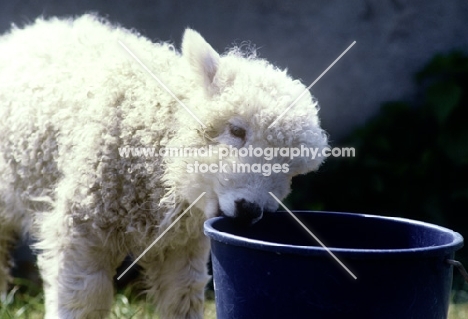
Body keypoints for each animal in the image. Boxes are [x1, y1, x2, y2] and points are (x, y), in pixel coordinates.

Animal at [0, 14, 328, 319]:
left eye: (292, 170)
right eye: (236, 131)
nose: (249, 211)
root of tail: (33, 28)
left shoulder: (184, 244)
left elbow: (182, 297)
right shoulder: (82, 225)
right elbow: (83, 302)